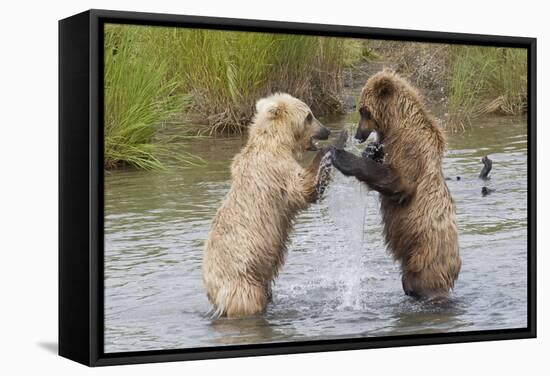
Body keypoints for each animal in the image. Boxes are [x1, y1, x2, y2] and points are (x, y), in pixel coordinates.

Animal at [203, 92, 332, 316]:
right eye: (309, 115)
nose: (326, 131)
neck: (277, 142)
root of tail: (213, 291)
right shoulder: (275, 169)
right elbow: (302, 189)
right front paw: (329, 151)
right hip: (242, 281)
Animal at [334, 70, 464, 300]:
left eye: (363, 111)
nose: (358, 135)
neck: (394, 124)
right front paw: (371, 151)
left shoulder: (410, 147)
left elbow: (400, 181)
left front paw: (343, 157)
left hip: (426, 254)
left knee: (424, 281)